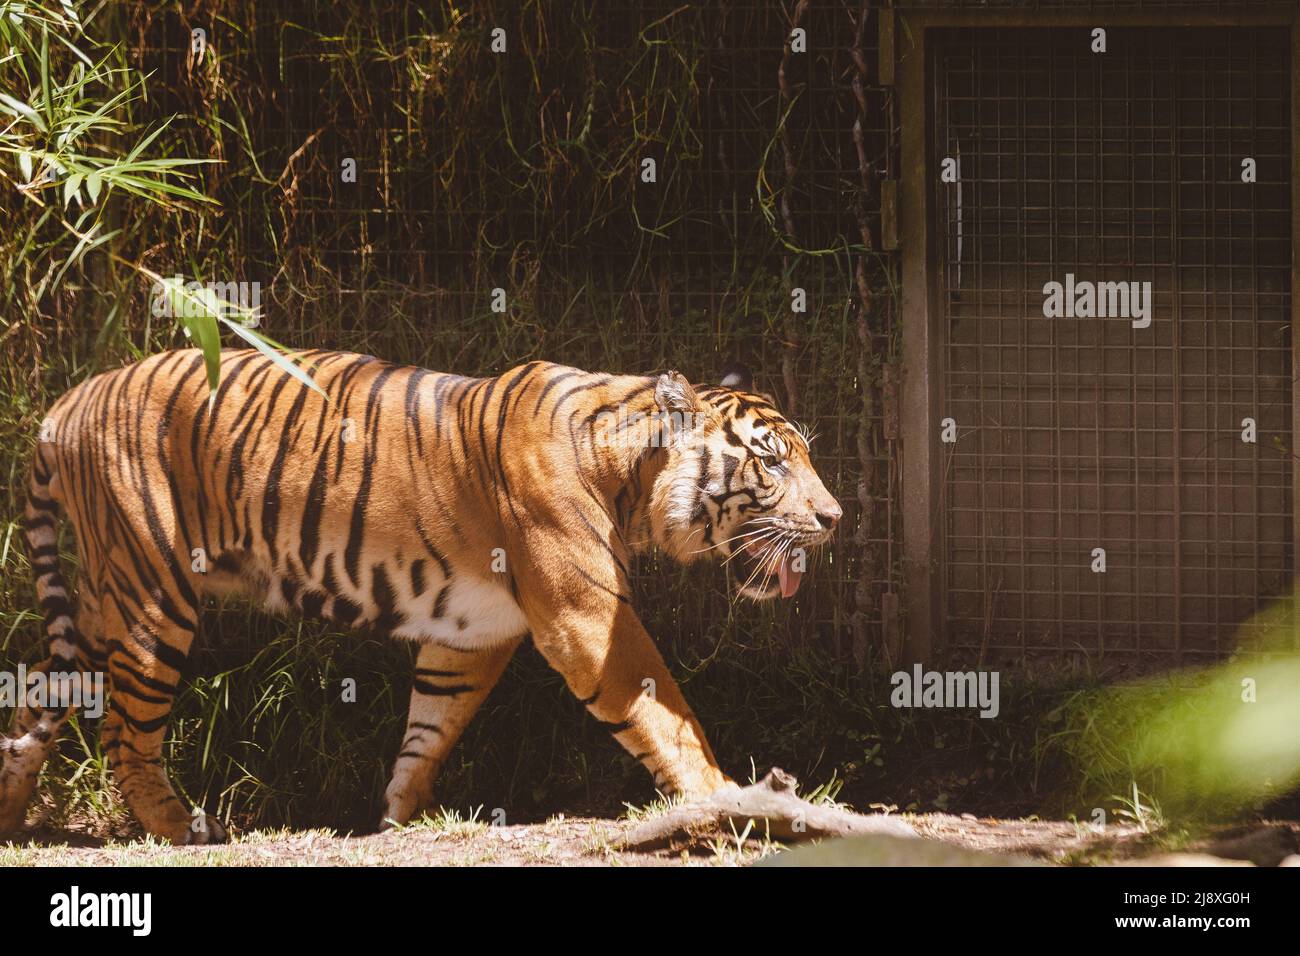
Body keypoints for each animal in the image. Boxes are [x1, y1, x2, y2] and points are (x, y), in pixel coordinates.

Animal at [0, 348, 841, 843]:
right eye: (773, 461)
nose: (835, 518)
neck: (629, 469)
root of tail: (65, 404)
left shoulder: (473, 632)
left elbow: (430, 729)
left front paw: (399, 819)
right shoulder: (587, 618)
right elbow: (668, 714)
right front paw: (730, 800)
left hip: (102, 599)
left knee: (38, 694)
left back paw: (10, 812)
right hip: (152, 590)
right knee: (123, 734)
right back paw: (184, 831)